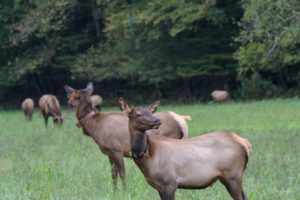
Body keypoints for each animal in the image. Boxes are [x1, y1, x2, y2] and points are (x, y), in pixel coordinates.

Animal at [119, 97, 251, 199]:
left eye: (151, 112)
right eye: (138, 114)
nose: (157, 120)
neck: (148, 158)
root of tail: (245, 143)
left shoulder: (169, 182)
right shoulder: (159, 187)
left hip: (233, 175)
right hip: (228, 178)